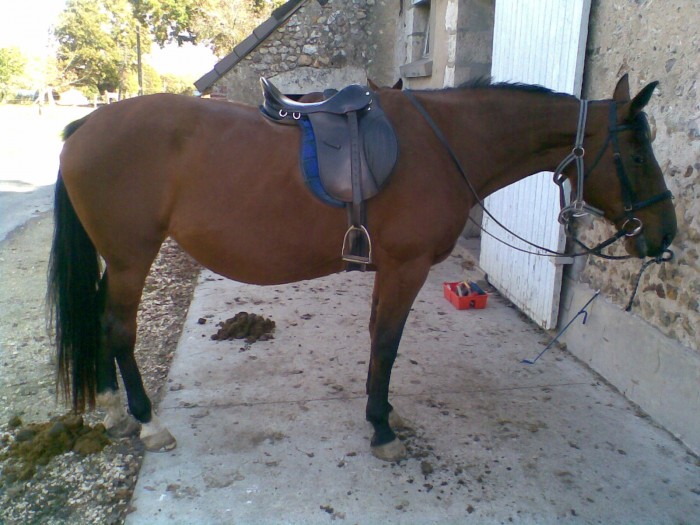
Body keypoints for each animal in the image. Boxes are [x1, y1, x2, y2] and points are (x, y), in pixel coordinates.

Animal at [48, 74, 676, 462]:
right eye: (636, 152)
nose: (666, 235)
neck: (445, 145)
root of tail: (82, 130)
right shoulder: (407, 269)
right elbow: (389, 345)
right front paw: (381, 428)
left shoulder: (389, 270)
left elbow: (378, 340)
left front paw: (383, 413)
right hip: (132, 257)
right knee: (118, 329)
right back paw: (147, 420)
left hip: (118, 260)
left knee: (101, 319)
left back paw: (114, 409)